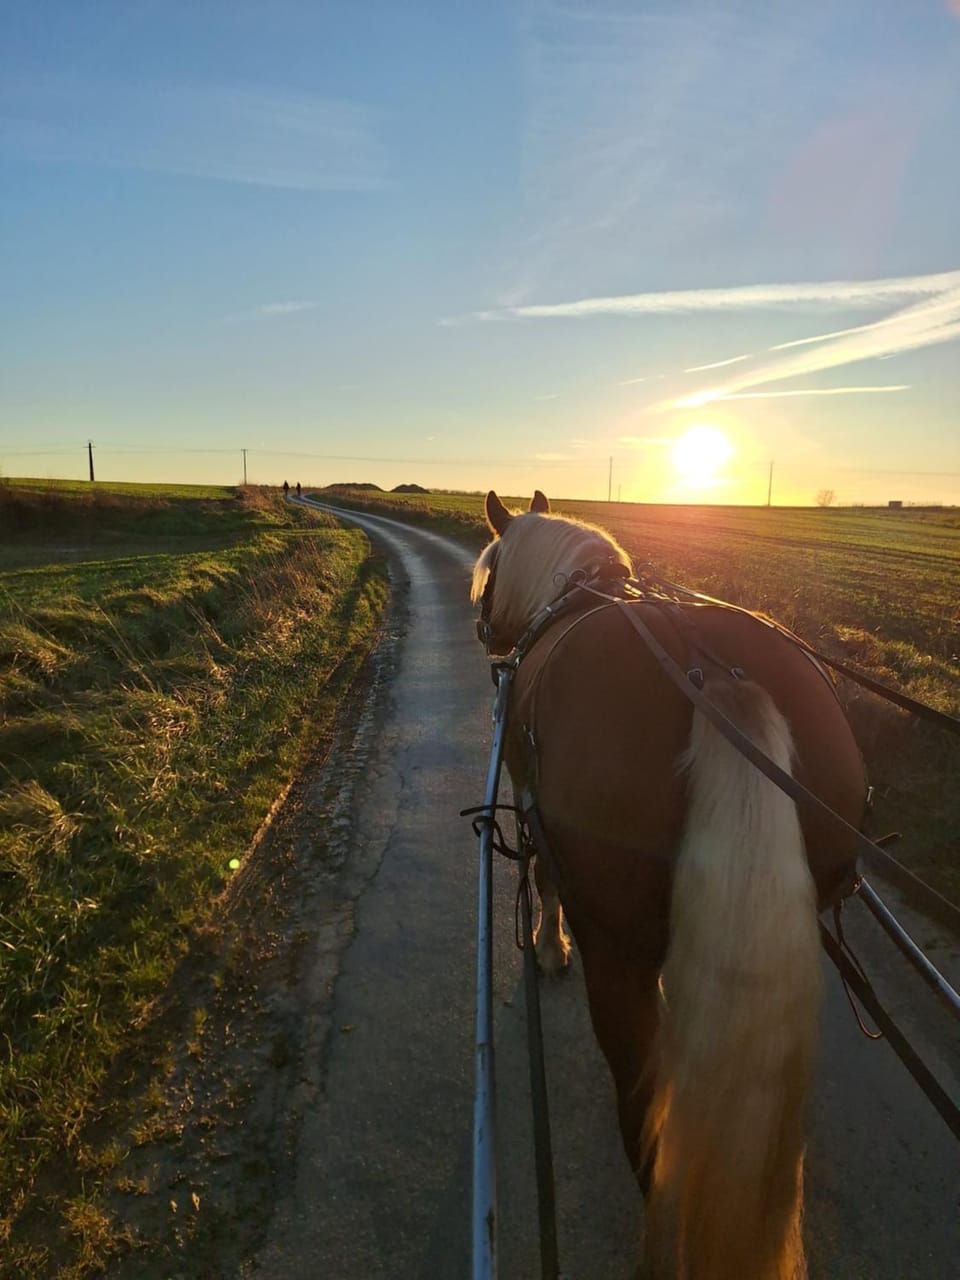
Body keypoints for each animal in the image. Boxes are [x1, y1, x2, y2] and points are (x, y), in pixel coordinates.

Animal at [471, 490, 868, 1280]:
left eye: (491, 569)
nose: (483, 631)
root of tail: (714, 672)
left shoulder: (532, 802)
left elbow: (542, 877)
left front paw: (549, 947)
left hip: (616, 954)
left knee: (645, 1115)